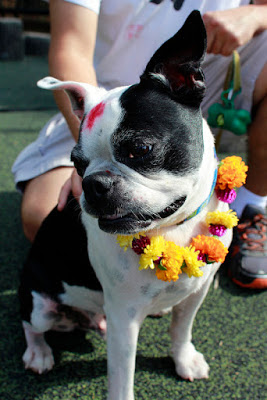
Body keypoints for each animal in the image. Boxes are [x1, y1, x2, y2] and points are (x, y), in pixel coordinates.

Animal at [19, 11, 232, 400]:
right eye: (77, 164)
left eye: (140, 150)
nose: (94, 184)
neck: (173, 230)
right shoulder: (123, 318)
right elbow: (122, 378)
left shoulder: (197, 292)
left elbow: (182, 329)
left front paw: (184, 359)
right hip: (40, 303)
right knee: (31, 323)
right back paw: (38, 353)